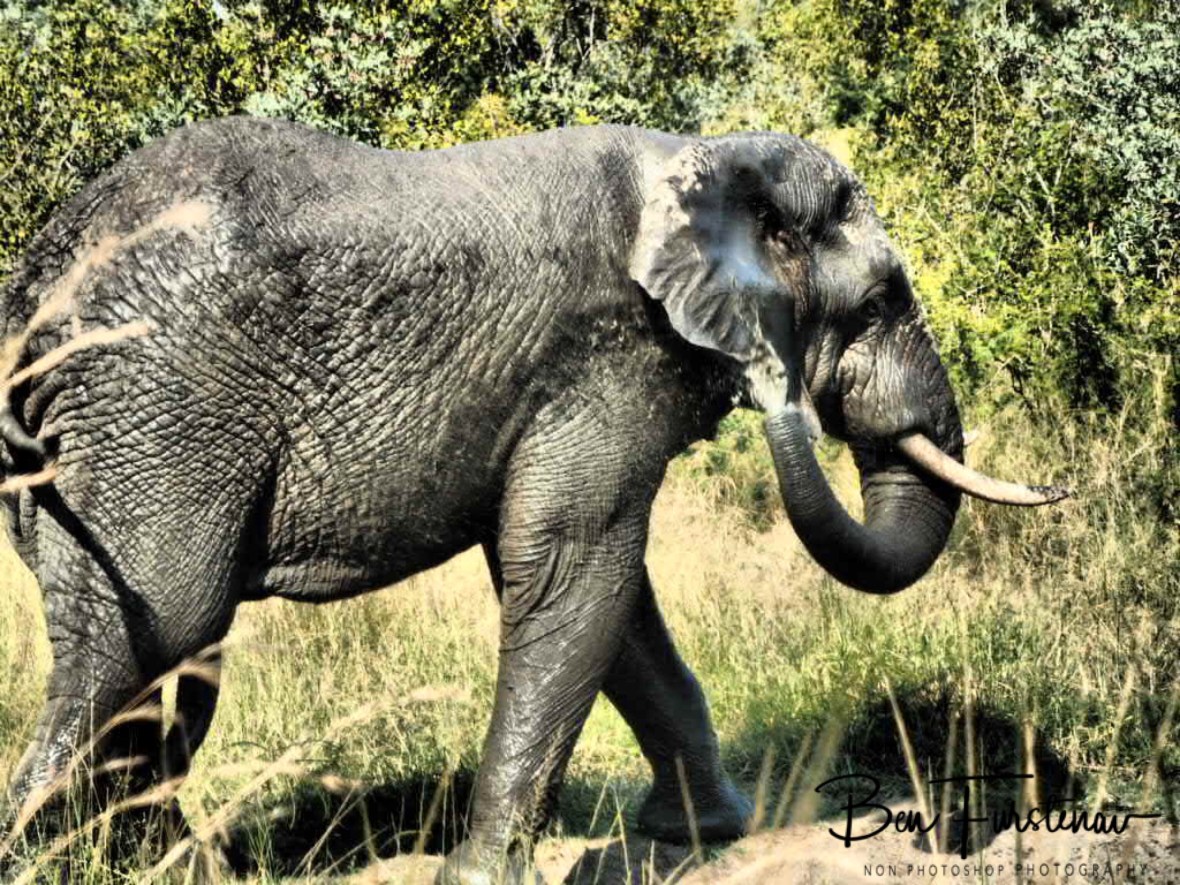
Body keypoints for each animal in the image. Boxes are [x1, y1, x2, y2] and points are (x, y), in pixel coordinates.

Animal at [0, 118, 1066, 882]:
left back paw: (154, 863)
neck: (701, 158)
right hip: (158, 411)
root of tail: (34, 288)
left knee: (145, 656)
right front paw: (482, 876)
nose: (781, 392)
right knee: (151, 635)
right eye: (881, 301)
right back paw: (59, 856)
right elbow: (571, 567)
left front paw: (707, 831)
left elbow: (607, 593)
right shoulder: (605, 357)